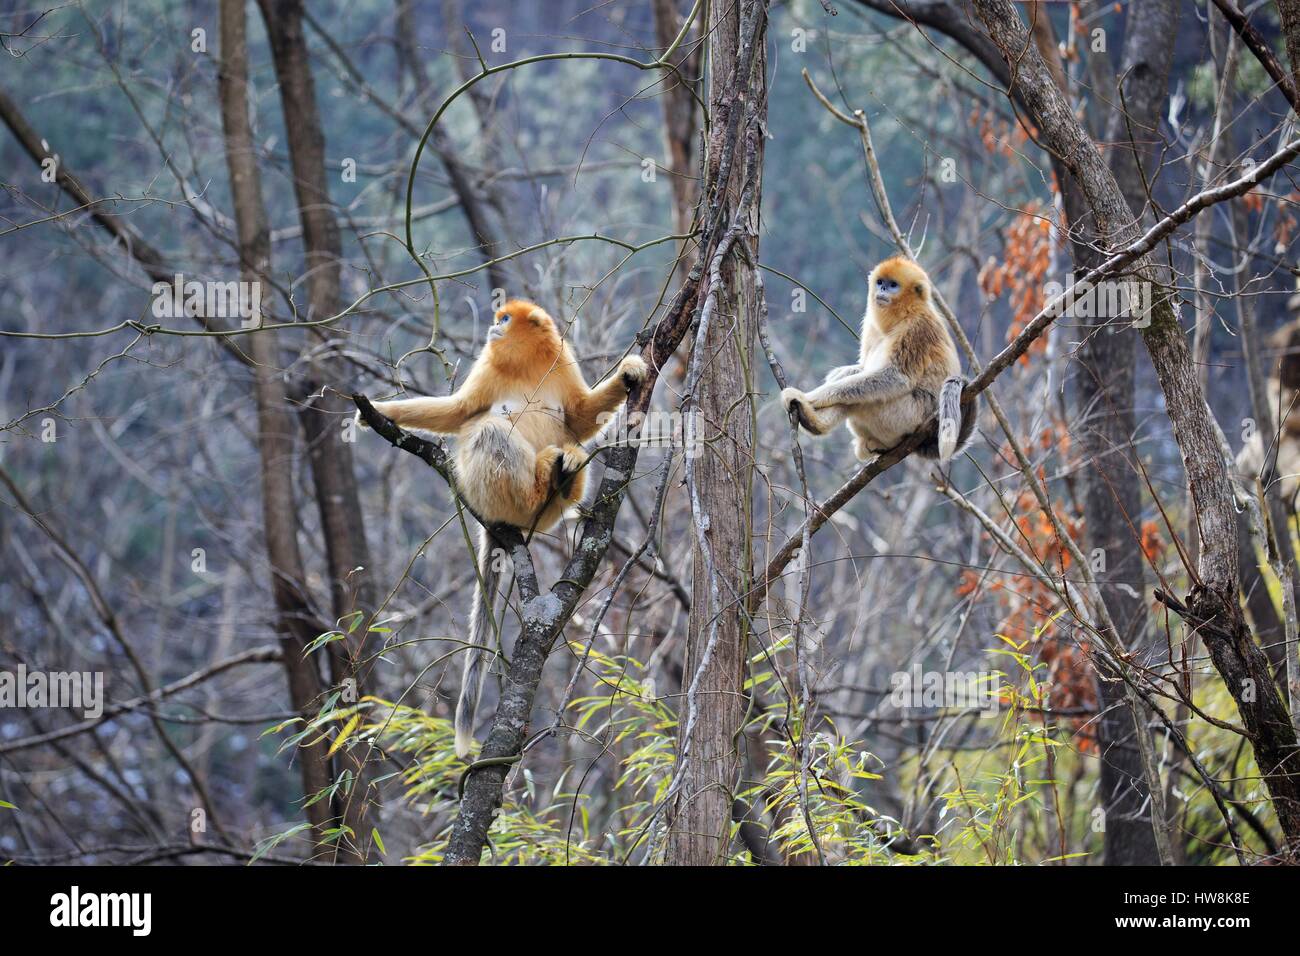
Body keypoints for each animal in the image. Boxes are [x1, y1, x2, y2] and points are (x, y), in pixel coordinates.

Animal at [358, 300, 647, 758]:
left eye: (506, 319)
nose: (494, 327)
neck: (525, 362)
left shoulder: (561, 359)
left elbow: (580, 418)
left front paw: (629, 371)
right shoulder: (486, 368)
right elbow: (459, 412)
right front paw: (374, 414)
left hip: (548, 514)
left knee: (570, 445)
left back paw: (562, 474)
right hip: (487, 491)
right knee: (484, 428)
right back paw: (541, 477)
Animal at [780, 256, 978, 462]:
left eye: (893, 285)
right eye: (880, 282)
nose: (882, 289)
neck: (904, 314)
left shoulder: (917, 329)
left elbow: (896, 377)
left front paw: (811, 398)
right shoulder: (871, 324)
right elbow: (862, 367)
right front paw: (833, 379)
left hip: (905, 417)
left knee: (860, 399)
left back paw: (813, 422)